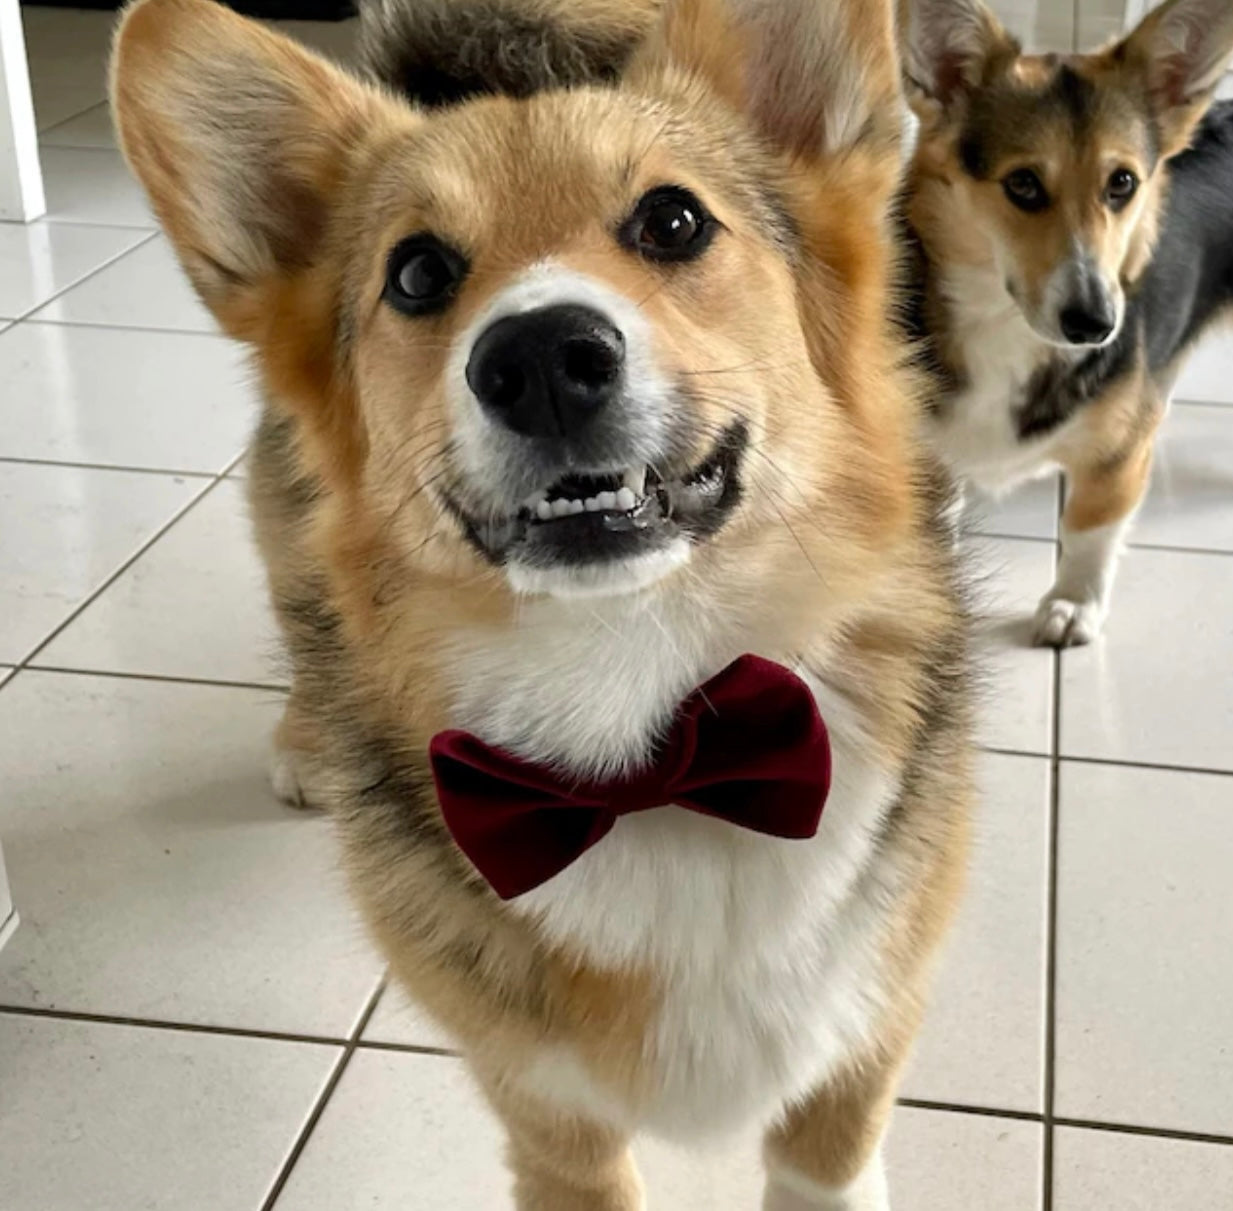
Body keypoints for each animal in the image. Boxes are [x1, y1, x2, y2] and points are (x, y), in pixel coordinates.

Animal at [110, 0, 971, 1208]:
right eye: (418, 274)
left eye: (673, 220)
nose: (544, 358)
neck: (654, 734)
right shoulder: (551, 1121)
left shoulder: (854, 1059)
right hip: (287, 536)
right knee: (304, 618)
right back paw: (305, 741)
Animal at [902, 0, 1233, 646]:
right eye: (1023, 184)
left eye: (1122, 183)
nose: (1094, 324)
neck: (1006, 326)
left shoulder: (1117, 459)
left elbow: (1088, 528)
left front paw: (1073, 605)